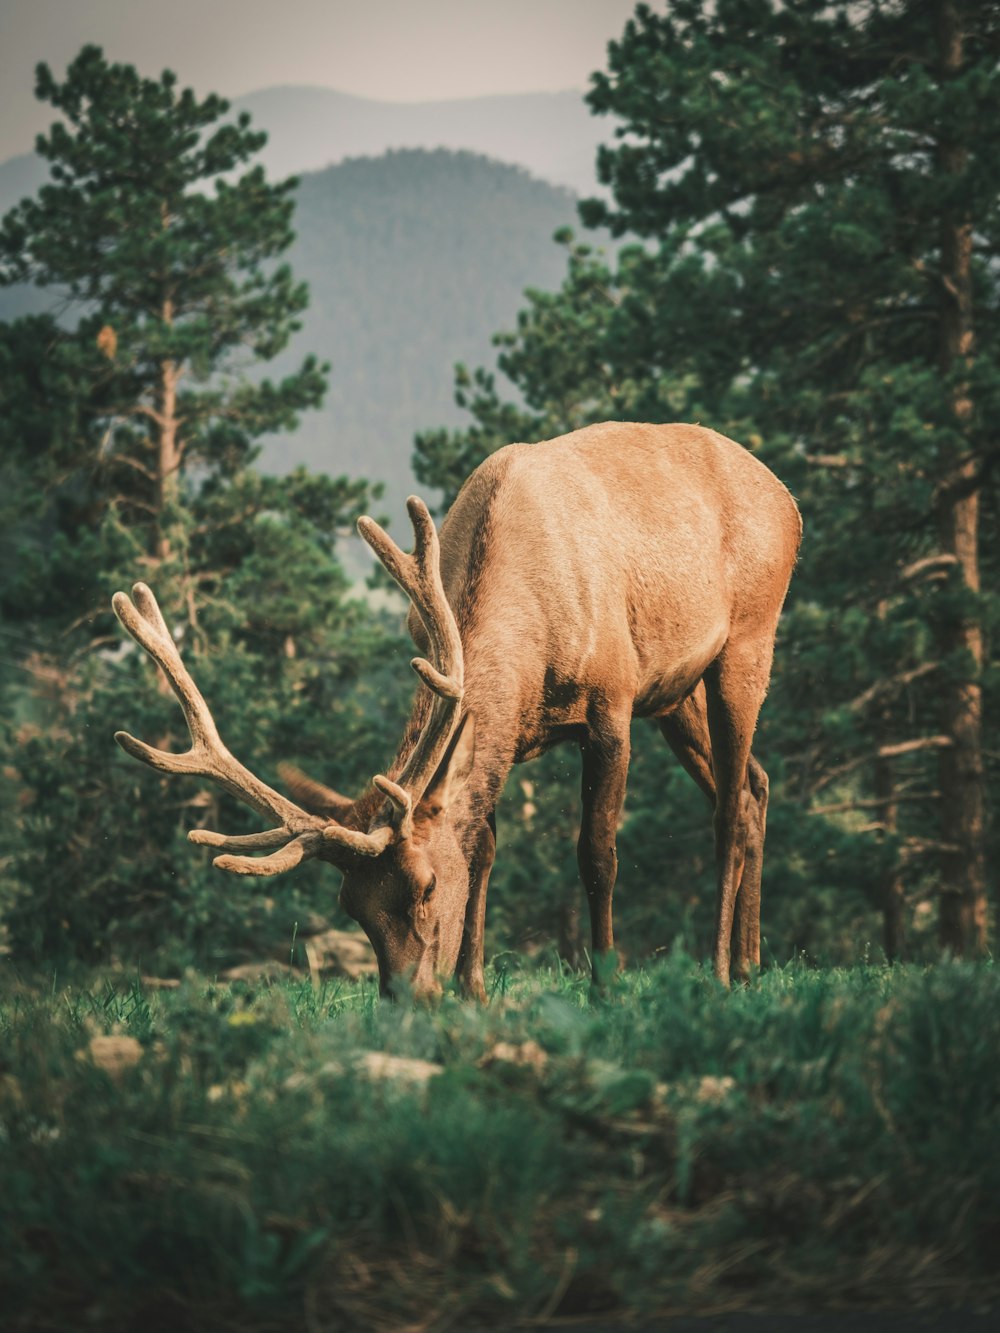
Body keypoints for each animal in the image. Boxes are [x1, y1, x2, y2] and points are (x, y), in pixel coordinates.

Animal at [113, 421, 805, 997]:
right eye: (349, 906)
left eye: (424, 887)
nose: (407, 999)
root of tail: (787, 498)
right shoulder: (503, 737)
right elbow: (481, 850)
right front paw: (474, 990)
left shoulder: (611, 703)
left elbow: (597, 854)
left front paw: (605, 984)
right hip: (675, 694)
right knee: (755, 784)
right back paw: (752, 963)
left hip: (747, 640)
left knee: (727, 810)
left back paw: (721, 971)